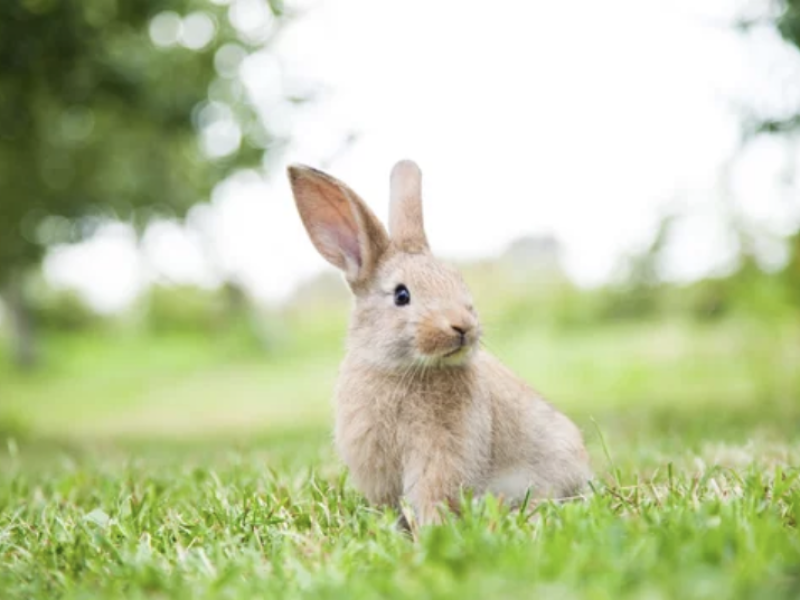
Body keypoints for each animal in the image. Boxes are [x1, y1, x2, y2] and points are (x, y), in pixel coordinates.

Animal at [287, 159, 592, 526]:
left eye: (458, 281)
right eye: (402, 295)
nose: (463, 326)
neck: (401, 370)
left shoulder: (441, 455)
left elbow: (433, 495)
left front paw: (433, 529)